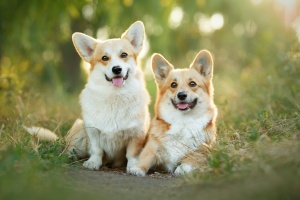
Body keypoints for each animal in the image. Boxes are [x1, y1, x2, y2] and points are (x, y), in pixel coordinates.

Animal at [25, 20, 150, 172]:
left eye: (124, 55)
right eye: (104, 58)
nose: (116, 69)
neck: (115, 95)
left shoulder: (136, 134)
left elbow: (132, 154)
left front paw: (133, 167)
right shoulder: (93, 131)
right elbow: (97, 150)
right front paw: (93, 163)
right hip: (79, 130)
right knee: (69, 148)